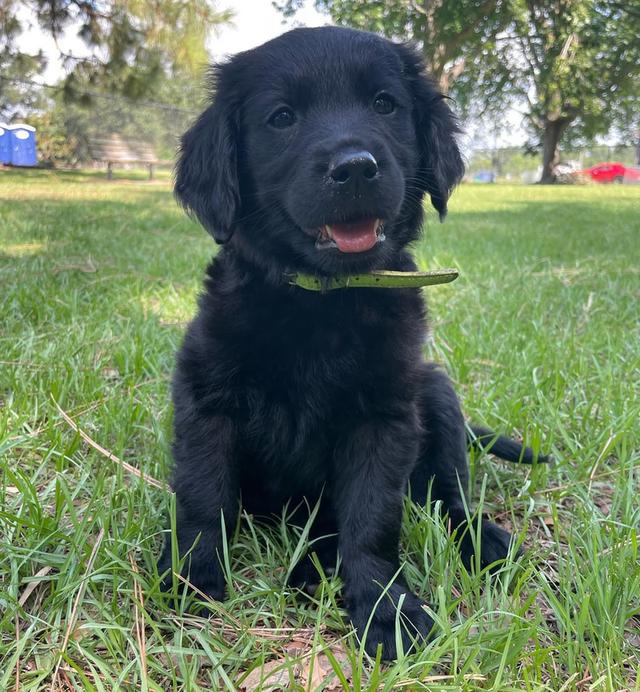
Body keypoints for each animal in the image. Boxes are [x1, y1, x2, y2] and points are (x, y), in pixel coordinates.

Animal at [159, 27, 540, 660]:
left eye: (385, 104)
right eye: (282, 117)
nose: (356, 168)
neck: (322, 302)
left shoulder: (384, 417)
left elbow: (373, 518)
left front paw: (385, 610)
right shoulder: (205, 396)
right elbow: (203, 495)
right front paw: (192, 577)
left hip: (434, 390)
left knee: (447, 497)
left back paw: (477, 541)